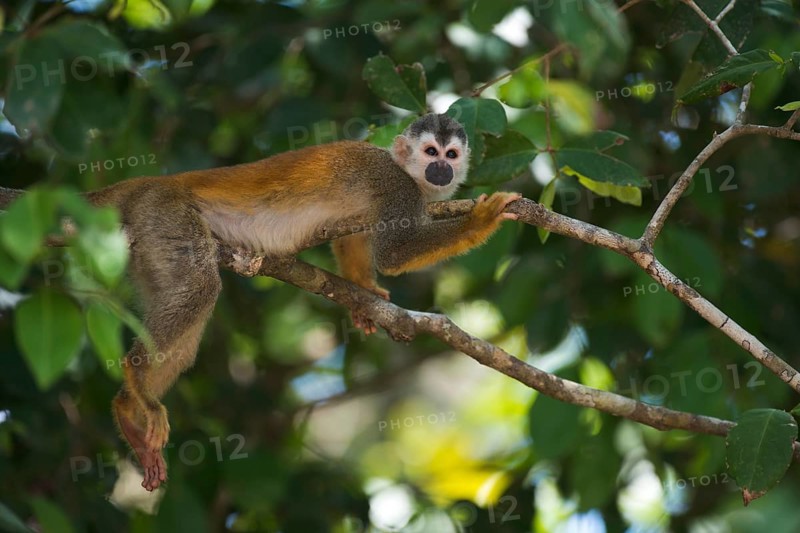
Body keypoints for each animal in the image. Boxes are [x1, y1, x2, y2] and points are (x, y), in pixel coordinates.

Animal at [0, 113, 519, 491]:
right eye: (430, 153)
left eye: (451, 154)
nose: (442, 170)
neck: (409, 174)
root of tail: (148, 183)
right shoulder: (395, 188)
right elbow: (395, 253)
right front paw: (482, 221)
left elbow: (356, 242)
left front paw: (362, 294)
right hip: (163, 215)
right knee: (199, 286)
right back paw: (137, 381)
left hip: (144, 245)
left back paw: (130, 410)